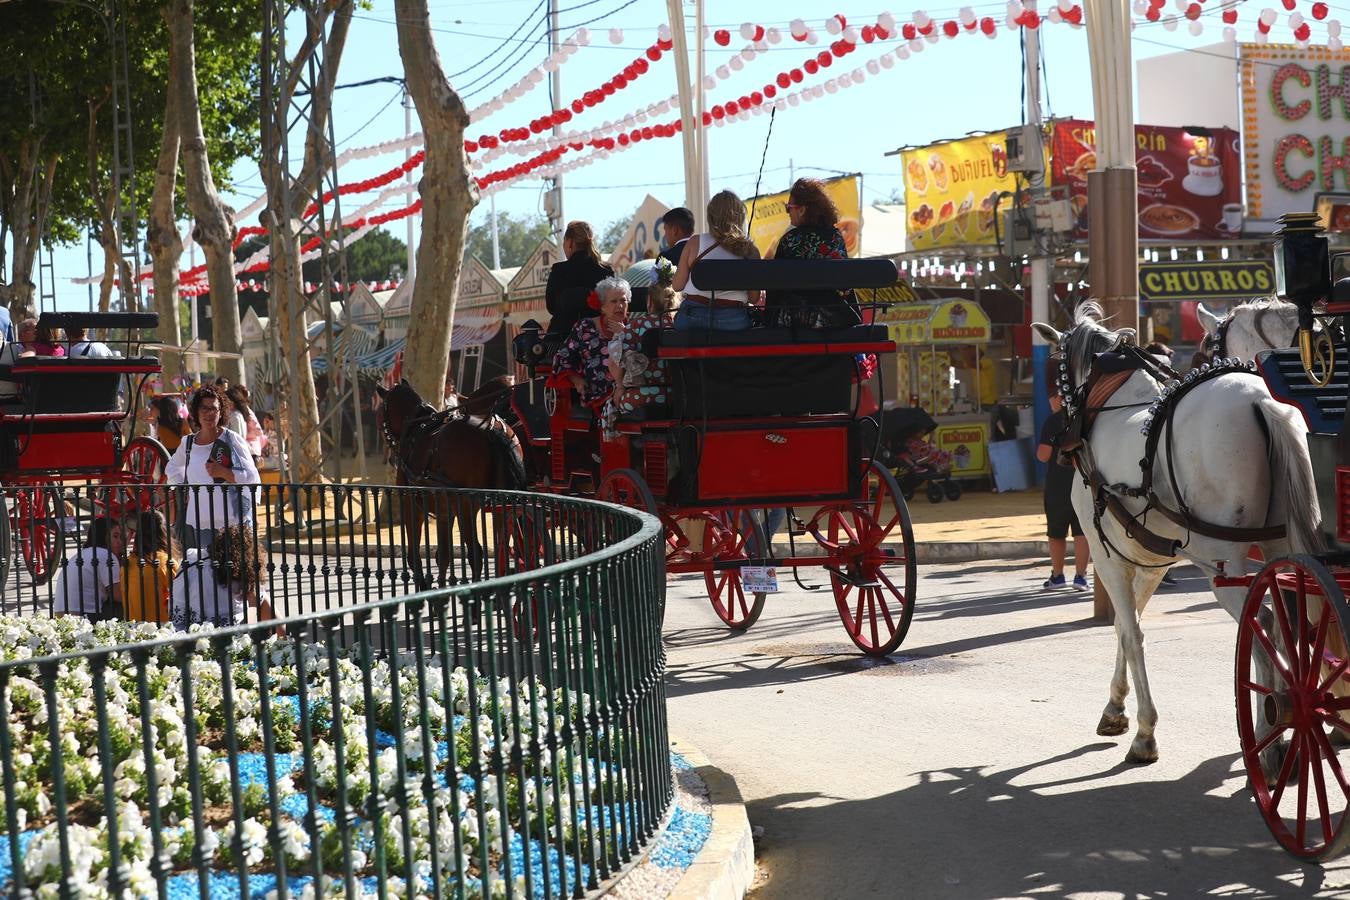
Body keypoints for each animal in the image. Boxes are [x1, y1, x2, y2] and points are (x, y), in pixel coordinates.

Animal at [380, 377, 531, 591]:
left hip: (467, 506)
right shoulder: (447, 510)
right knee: (504, 545)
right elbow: (443, 555)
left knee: (476, 552)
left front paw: (425, 584)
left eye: (382, 410)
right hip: (501, 503)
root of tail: (490, 427)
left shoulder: (412, 504)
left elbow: (416, 554)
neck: (418, 428)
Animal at [1031, 304, 1317, 766]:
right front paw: (1115, 708)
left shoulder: (1108, 555)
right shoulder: (1151, 559)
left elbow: (1131, 632)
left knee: (1263, 624)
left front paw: (1145, 732)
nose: (1061, 432)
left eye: (1056, 370)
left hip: (1225, 563)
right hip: (1281, 543)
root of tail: (1261, 401)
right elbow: (1124, 627)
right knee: (1292, 621)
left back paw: (1268, 737)